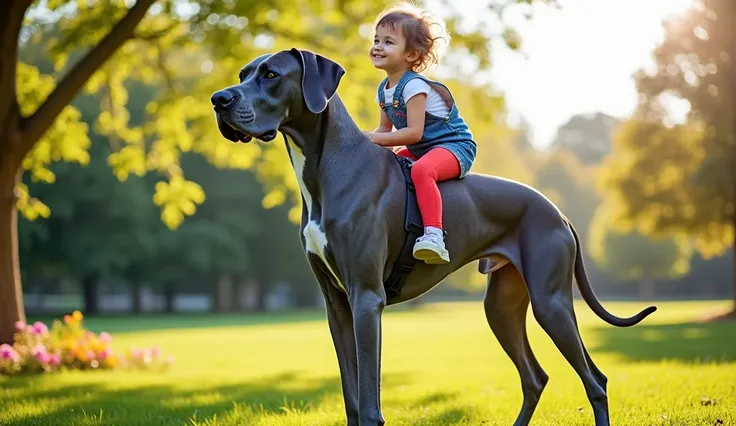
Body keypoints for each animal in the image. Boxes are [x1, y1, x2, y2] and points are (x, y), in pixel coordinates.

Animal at [211, 48, 656, 424]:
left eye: (271, 75)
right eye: (243, 74)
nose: (218, 99)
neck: (325, 170)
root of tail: (559, 212)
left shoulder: (366, 299)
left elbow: (369, 404)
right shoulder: (337, 305)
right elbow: (352, 399)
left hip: (551, 303)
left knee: (595, 380)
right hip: (500, 306)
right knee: (535, 377)